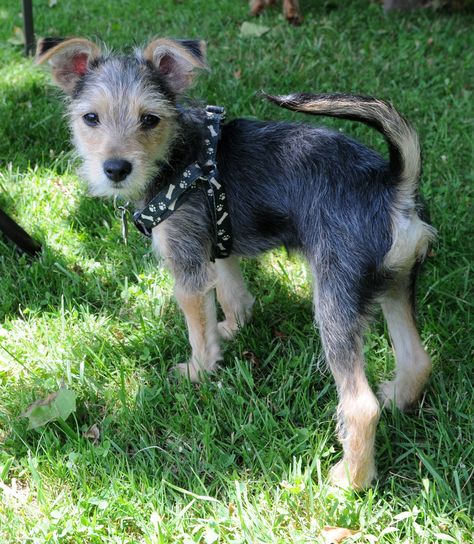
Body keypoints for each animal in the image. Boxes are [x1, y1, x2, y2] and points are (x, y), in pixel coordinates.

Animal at [38, 37, 436, 488]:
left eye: (149, 119)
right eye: (91, 118)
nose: (116, 169)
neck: (179, 156)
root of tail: (392, 187)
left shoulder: (188, 269)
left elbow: (198, 329)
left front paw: (199, 370)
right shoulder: (217, 246)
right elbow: (233, 297)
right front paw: (231, 328)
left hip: (336, 303)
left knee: (360, 406)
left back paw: (349, 480)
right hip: (395, 286)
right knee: (417, 359)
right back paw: (397, 398)